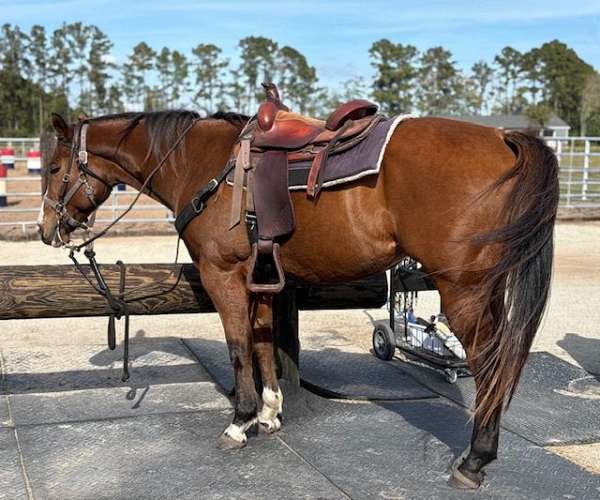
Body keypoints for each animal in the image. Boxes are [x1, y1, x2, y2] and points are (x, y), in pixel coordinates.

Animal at [41, 110, 556, 488]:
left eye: (53, 168)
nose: (47, 231)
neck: (201, 164)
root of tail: (504, 137)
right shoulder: (262, 277)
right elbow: (264, 343)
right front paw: (269, 414)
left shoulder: (222, 276)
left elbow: (238, 347)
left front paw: (240, 421)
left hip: (463, 291)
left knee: (488, 362)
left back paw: (474, 460)